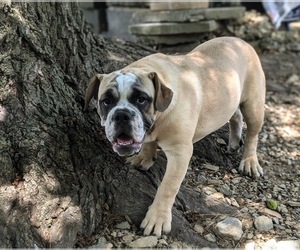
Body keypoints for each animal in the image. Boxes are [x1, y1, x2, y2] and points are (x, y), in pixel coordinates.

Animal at [84, 36, 264, 236]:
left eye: (141, 99)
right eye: (106, 101)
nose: (121, 115)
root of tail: (241, 41)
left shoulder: (180, 152)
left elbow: (168, 187)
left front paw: (157, 218)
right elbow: (148, 144)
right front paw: (145, 157)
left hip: (254, 105)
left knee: (253, 134)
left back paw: (249, 162)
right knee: (235, 114)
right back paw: (233, 142)